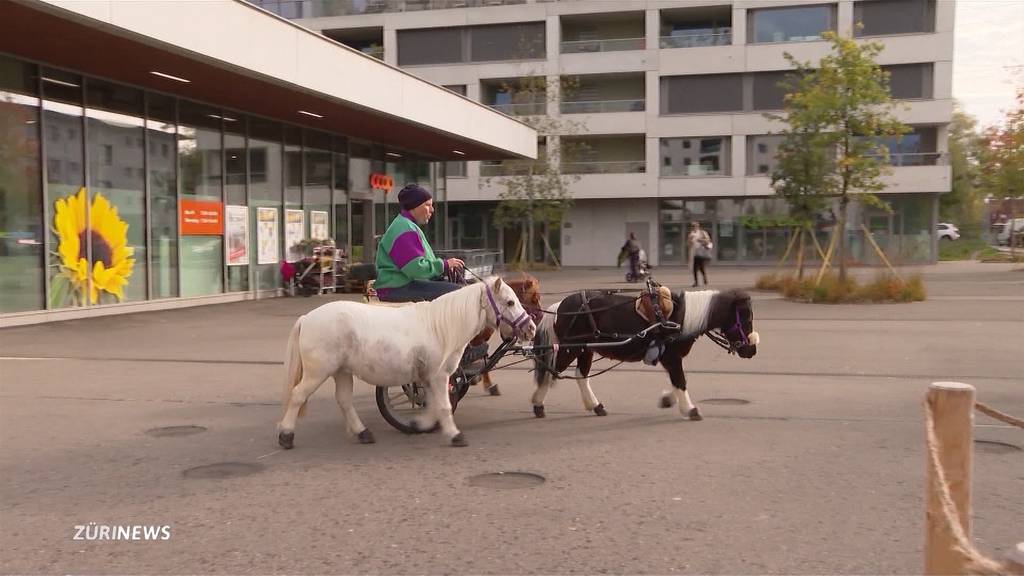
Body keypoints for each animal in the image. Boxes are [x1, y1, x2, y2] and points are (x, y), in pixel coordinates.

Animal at [280, 278, 536, 448]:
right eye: (510, 302)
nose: (531, 328)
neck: (442, 327)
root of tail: (306, 318)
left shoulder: (430, 378)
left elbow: (433, 405)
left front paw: (420, 424)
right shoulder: (439, 376)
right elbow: (443, 406)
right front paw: (454, 435)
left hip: (341, 371)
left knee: (344, 401)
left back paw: (363, 433)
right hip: (318, 372)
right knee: (298, 395)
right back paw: (286, 435)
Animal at [528, 286, 761, 416]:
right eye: (746, 318)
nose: (752, 350)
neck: (681, 316)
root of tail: (559, 306)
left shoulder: (669, 358)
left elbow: (678, 381)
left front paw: (669, 400)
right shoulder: (672, 357)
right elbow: (680, 381)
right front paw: (690, 409)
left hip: (585, 349)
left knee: (581, 375)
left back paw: (596, 405)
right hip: (570, 348)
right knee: (551, 371)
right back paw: (538, 404)